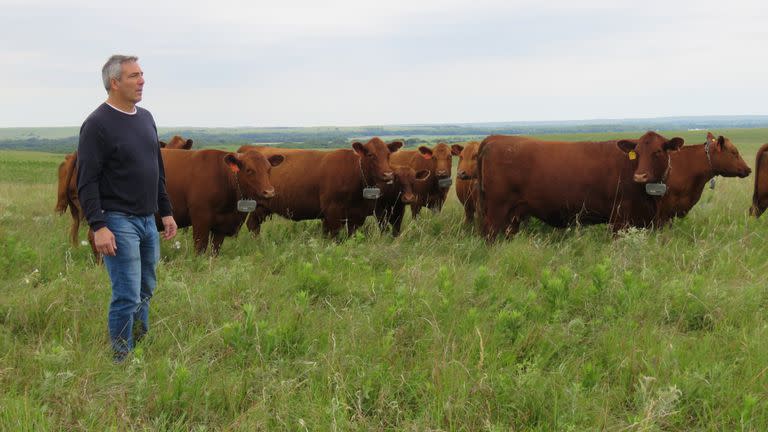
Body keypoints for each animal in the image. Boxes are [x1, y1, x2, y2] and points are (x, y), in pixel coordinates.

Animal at [238, 138, 402, 238]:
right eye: (370, 154)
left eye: (388, 154)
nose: (388, 174)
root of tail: (249, 148)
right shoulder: (333, 211)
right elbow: (334, 236)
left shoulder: (357, 215)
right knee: (252, 224)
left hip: (262, 207)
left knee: (253, 224)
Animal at [480, 132, 684, 240]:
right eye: (638, 153)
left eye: (658, 151)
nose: (640, 176)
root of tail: (496, 138)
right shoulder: (619, 219)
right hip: (497, 210)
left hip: (512, 215)